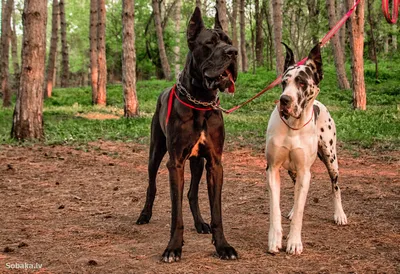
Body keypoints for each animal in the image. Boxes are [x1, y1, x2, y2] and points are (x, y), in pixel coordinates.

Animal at [136, 7, 239, 262]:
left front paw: (223, 246)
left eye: (228, 41)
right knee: (151, 186)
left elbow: (216, 212)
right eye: (210, 43)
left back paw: (200, 223)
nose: (233, 52)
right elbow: (176, 213)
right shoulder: (176, 163)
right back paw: (144, 215)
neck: (200, 100)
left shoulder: (214, 163)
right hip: (155, 153)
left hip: (198, 162)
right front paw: (173, 247)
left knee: (192, 194)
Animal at [266, 42, 346, 255]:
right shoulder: (273, 169)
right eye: (284, 83)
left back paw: (339, 214)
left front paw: (294, 242)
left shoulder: (305, 171)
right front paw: (275, 239)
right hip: (292, 170)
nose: (284, 100)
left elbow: (301, 210)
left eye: (302, 83)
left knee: (335, 186)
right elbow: (275, 208)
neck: (293, 126)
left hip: (331, 158)